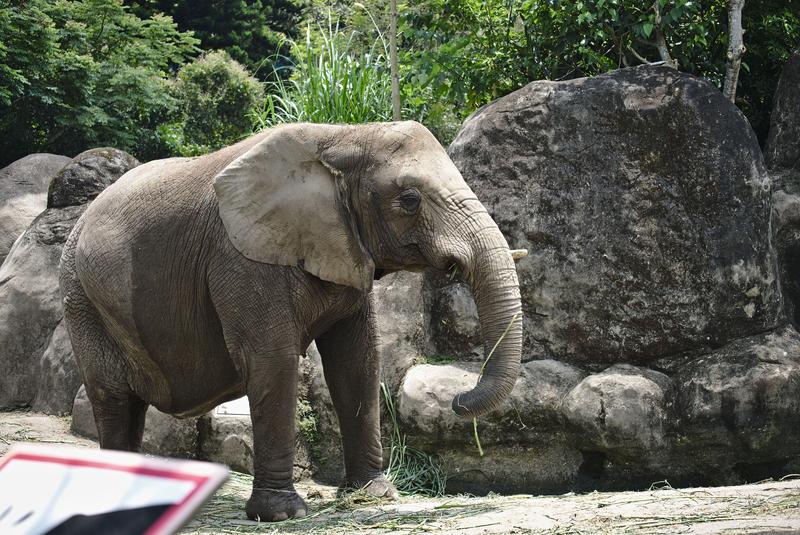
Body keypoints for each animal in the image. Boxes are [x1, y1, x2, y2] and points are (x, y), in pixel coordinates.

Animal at [61, 119, 524, 520]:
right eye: (410, 200)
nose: (457, 401)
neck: (342, 137)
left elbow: (357, 360)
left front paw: (374, 494)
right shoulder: (242, 258)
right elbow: (274, 359)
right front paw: (282, 514)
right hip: (81, 298)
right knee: (112, 396)